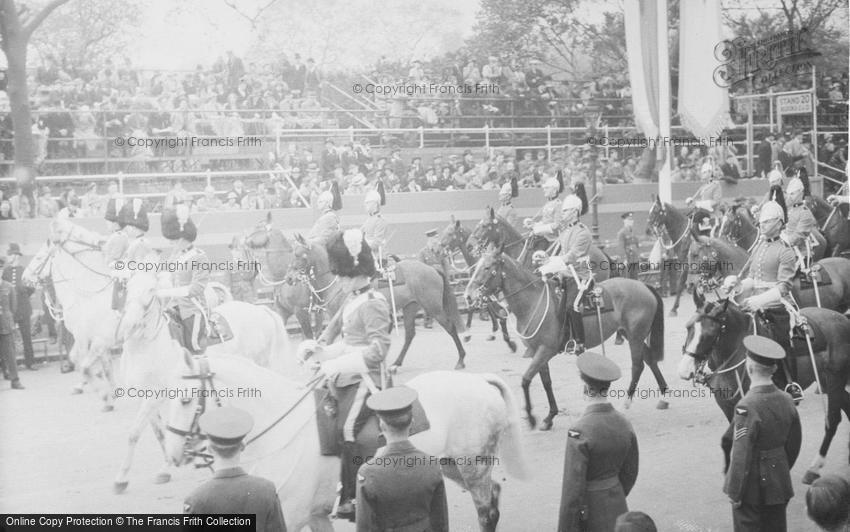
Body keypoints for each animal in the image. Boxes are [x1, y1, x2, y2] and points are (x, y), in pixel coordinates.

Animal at [22, 218, 120, 410]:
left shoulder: (95, 339)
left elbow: (85, 365)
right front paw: (111, 392)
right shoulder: (91, 339)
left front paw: (105, 395)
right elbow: (86, 362)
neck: (89, 294)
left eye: (39, 257)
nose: (23, 278)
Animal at [112, 272, 294, 492]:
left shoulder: (157, 395)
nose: (129, 324)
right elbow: (160, 433)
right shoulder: (143, 397)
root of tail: (261, 310)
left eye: (151, 290)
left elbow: (134, 433)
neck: (147, 345)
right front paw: (165, 466)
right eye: (128, 288)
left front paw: (123, 478)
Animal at [162, 354, 528, 532]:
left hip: (473, 467)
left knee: (486, 511)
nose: (173, 454)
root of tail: (478, 381)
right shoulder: (316, 516)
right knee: (492, 498)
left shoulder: (290, 516)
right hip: (453, 467)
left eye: (184, 399)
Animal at [460, 249, 664, 432]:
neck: (533, 302)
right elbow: (546, 382)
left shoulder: (545, 350)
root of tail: (644, 286)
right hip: (631, 334)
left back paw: (626, 403)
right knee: (650, 359)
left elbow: (526, 379)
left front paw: (532, 417)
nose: (468, 295)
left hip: (635, 336)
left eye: (487, 268)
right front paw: (549, 417)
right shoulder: (538, 352)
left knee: (638, 365)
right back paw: (663, 396)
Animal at [676, 302, 848, 484]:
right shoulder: (727, 405)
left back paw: (814, 468)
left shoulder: (747, 406)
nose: (684, 370)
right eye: (688, 327)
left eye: (710, 334)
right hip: (825, 381)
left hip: (835, 378)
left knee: (833, 420)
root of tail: (843, 319)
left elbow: (731, 439)